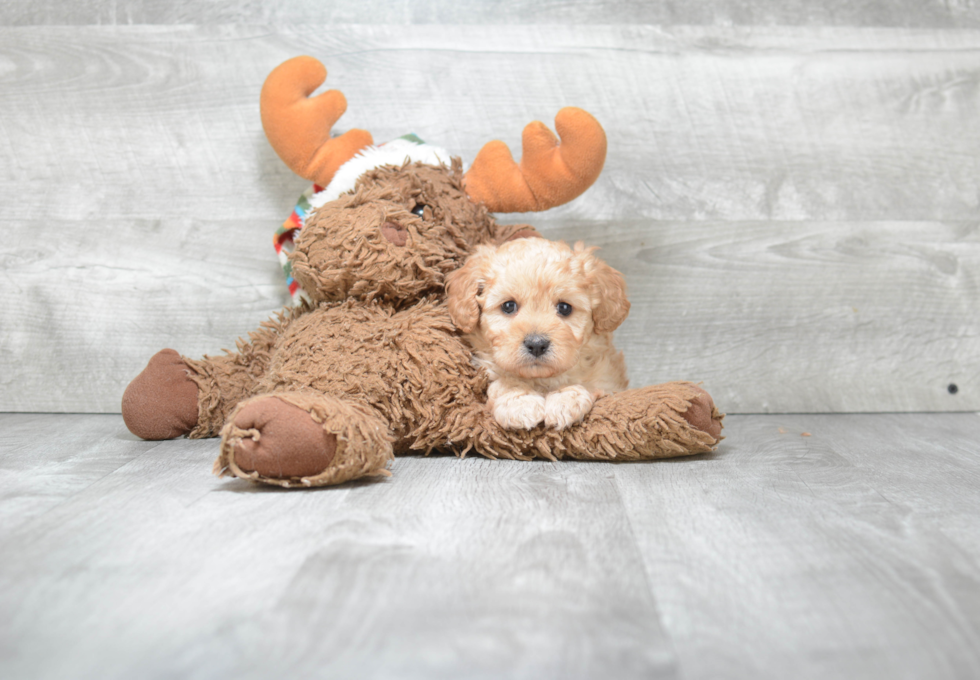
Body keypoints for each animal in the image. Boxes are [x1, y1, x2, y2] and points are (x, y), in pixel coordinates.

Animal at [448, 239, 632, 430]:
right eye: (508, 306)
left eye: (564, 308)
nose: (537, 344)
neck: (541, 379)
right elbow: (504, 382)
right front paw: (518, 402)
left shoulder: (609, 380)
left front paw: (565, 399)